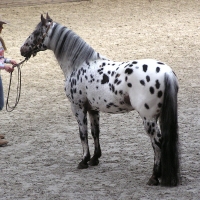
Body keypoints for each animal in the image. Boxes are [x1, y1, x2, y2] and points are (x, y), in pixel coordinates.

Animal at [20, 13, 180, 186]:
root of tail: (166, 72)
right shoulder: (93, 109)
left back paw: (154, 177)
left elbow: (82, 133)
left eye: (36, 32)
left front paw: (84, 160)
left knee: (157, 143)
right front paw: (94, 159)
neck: (79, 64)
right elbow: (95, 132)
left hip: (148, 119)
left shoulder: (77, 107)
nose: (22, 49)